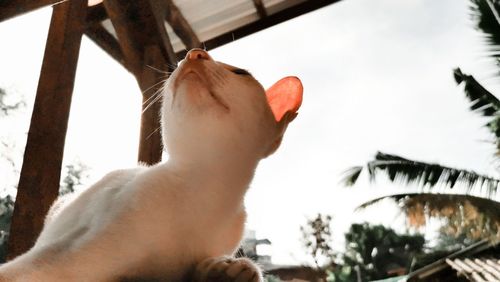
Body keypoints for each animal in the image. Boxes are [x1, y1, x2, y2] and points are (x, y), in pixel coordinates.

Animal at [0, 49, 300, 282]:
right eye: (189, 55)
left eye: (240, 73)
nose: (194, 53)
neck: (203, 188)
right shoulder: (67, 258)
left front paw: (226, 270)